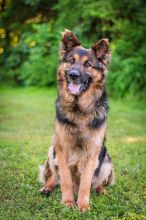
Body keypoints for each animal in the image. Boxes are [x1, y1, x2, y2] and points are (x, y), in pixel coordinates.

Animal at [39, 29, 114, 211]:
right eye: (71, 61)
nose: (73, 75)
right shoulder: (62, 148)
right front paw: (68, 202)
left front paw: (83, 205)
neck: (79, 109)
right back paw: (47, 188)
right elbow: (65, 179)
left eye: (88, 64)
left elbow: (86, 183)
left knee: (97, 183)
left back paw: (101, 190)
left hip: (106, 159)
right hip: (52, 151)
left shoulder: (92, 152)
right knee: (55, 179)